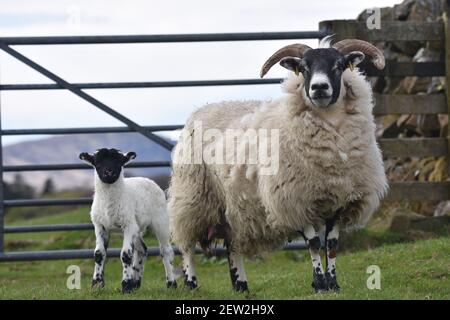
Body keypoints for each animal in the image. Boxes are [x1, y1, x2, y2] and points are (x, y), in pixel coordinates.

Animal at [79, 148, 176, 292]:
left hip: (160, 221)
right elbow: (99, 254)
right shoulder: (100, 226)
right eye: (97, 162)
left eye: (119, 162)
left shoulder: (128, 226)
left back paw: (172, 283)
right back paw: (136, 283)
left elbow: (126, 255)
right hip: (137, 227)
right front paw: (97, 285)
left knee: (166, 250)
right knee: (142, 250)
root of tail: (147, 179)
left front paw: (126, 285)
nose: (109, 172)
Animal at [168, 37, 386, 292]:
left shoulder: (339, 200)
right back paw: (191, 282)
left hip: (230, 204)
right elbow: (313, 243)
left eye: (339, 65)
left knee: (232, 244)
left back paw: (241, 285)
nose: (319, 87)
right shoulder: (293, 200)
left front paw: (333, 284)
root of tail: (201, 109)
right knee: (186, 245)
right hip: (192, 196)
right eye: (303, 68)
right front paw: (319, 284)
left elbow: (331, 245)